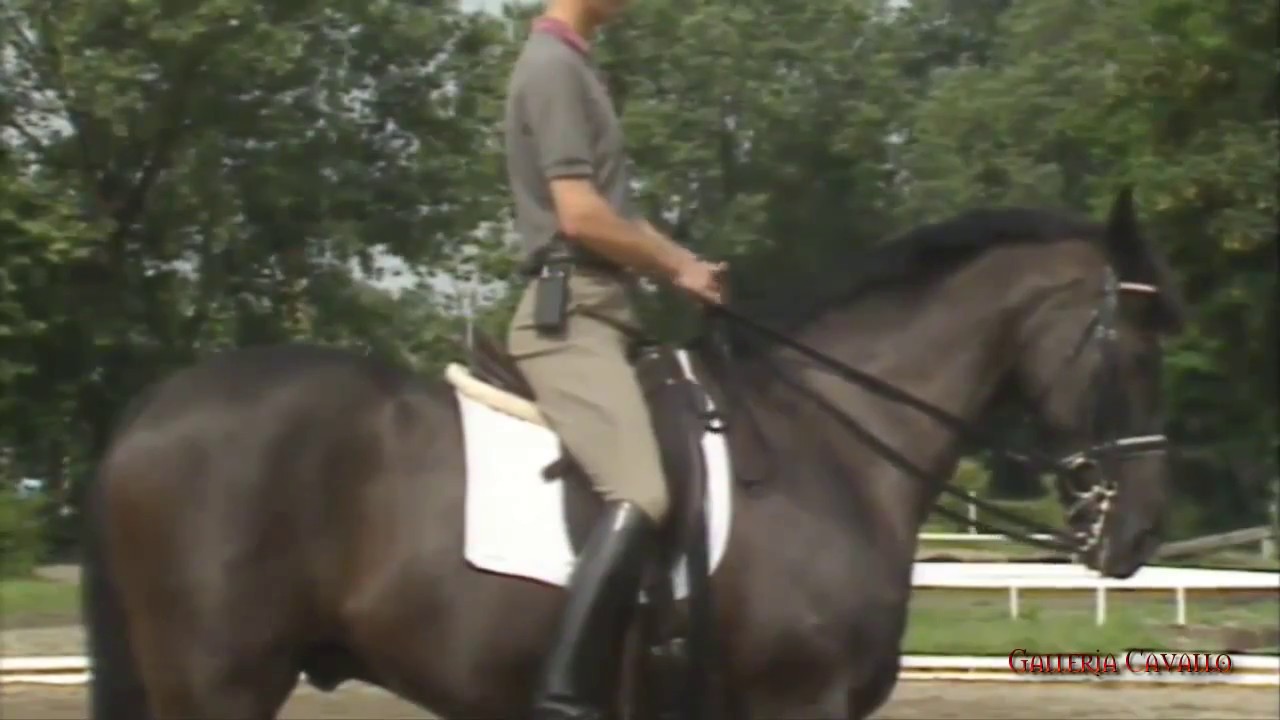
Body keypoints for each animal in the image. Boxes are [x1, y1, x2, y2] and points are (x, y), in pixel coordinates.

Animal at [81, 187, 1186, 719]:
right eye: (1134, 348)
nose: (1135, 528)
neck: (833, 442)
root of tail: (150, 409)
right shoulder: (800, 700)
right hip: (219, 684)